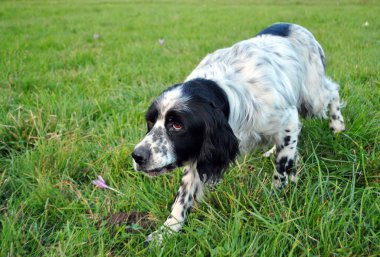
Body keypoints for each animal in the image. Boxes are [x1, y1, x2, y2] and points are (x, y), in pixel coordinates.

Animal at [132, 22, 346, 242]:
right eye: (150, 121)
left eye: (177, 125)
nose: (137, 156)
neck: (223, 92)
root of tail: (293, 25)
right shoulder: (198, 154)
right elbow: (183, 197)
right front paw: (166, 231)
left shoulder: (288, 120)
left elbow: (282, 167)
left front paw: (276, 195)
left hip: (311, 100)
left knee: (332, 91)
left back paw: (338, 125)